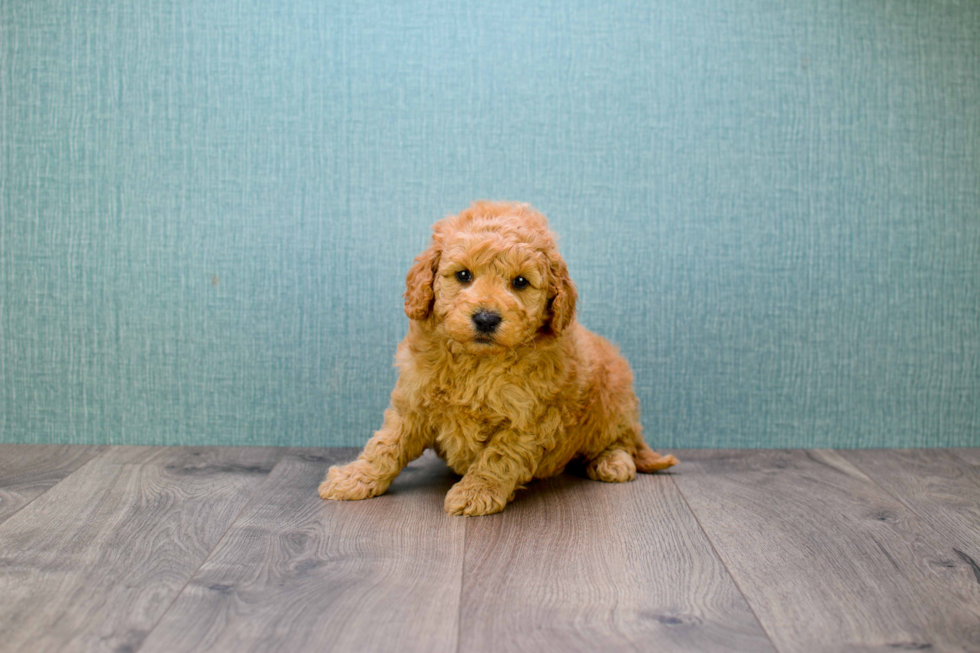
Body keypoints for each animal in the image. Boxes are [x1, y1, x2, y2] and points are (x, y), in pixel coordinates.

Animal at [318, 199, 676, 516]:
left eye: (520, 282)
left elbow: (498, 457)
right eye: (464, 275)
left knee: (623, 440)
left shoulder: (529, 419)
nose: (486, 318)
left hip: (612, 399)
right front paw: (354, 478)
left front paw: (476, 492)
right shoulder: (414, 400)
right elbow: (386, 444)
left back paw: (612, 461)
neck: (477, 361)